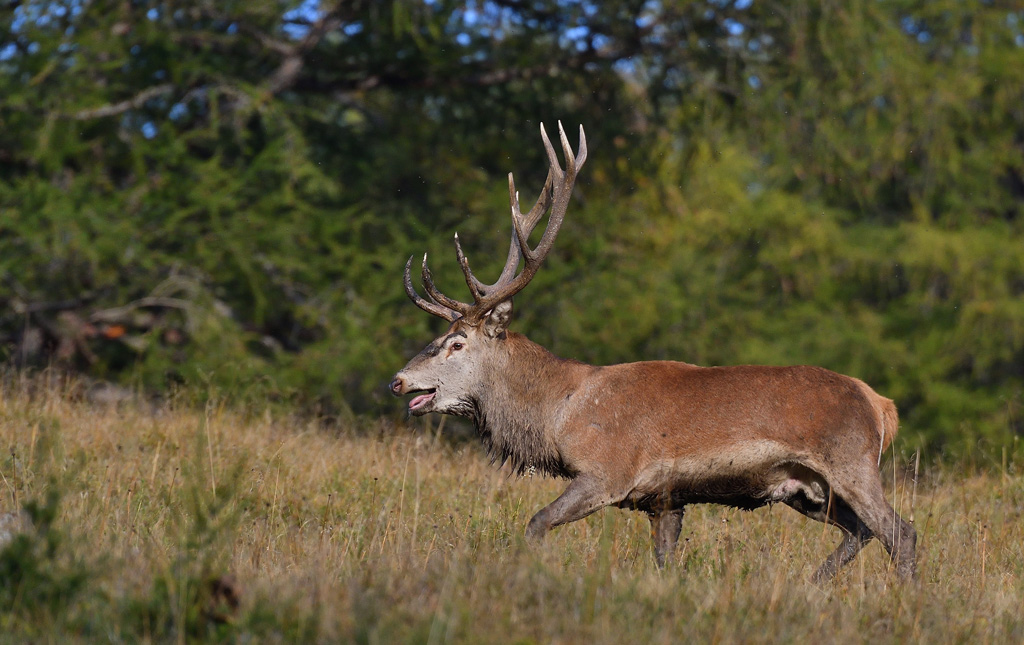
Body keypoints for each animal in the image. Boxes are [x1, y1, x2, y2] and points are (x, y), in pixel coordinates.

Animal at [391, 121, 921, 581]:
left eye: (456, 342)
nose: (398, 380)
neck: (556, 413)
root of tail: (882, 405)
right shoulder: (664, 499)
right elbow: (665, 563)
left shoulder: (607, 472)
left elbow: (535, 523)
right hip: (806, 489)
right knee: (863, 532)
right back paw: (812, 584)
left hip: (852, 463)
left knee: (900, 532)